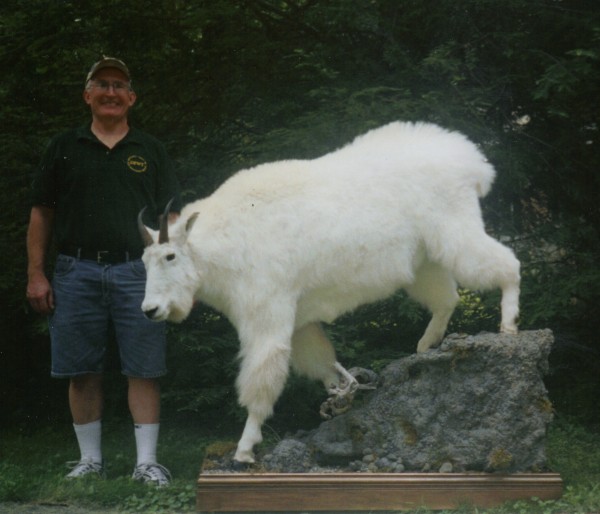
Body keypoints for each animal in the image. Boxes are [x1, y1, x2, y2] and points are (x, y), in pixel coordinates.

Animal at [138, 121, 516, 464]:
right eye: (144, 260)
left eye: (170, 256)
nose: (150, 310)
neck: (224, 241)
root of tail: (469, 161)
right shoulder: (299, 321)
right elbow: (323, 362)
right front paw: (343, 394)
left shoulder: (267, 315)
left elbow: (260, 380)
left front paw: (245, 449)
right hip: (425, 260)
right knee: (448, 298)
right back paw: (426, 344)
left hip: (457, 231)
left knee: (508, 265)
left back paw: (509, 325)